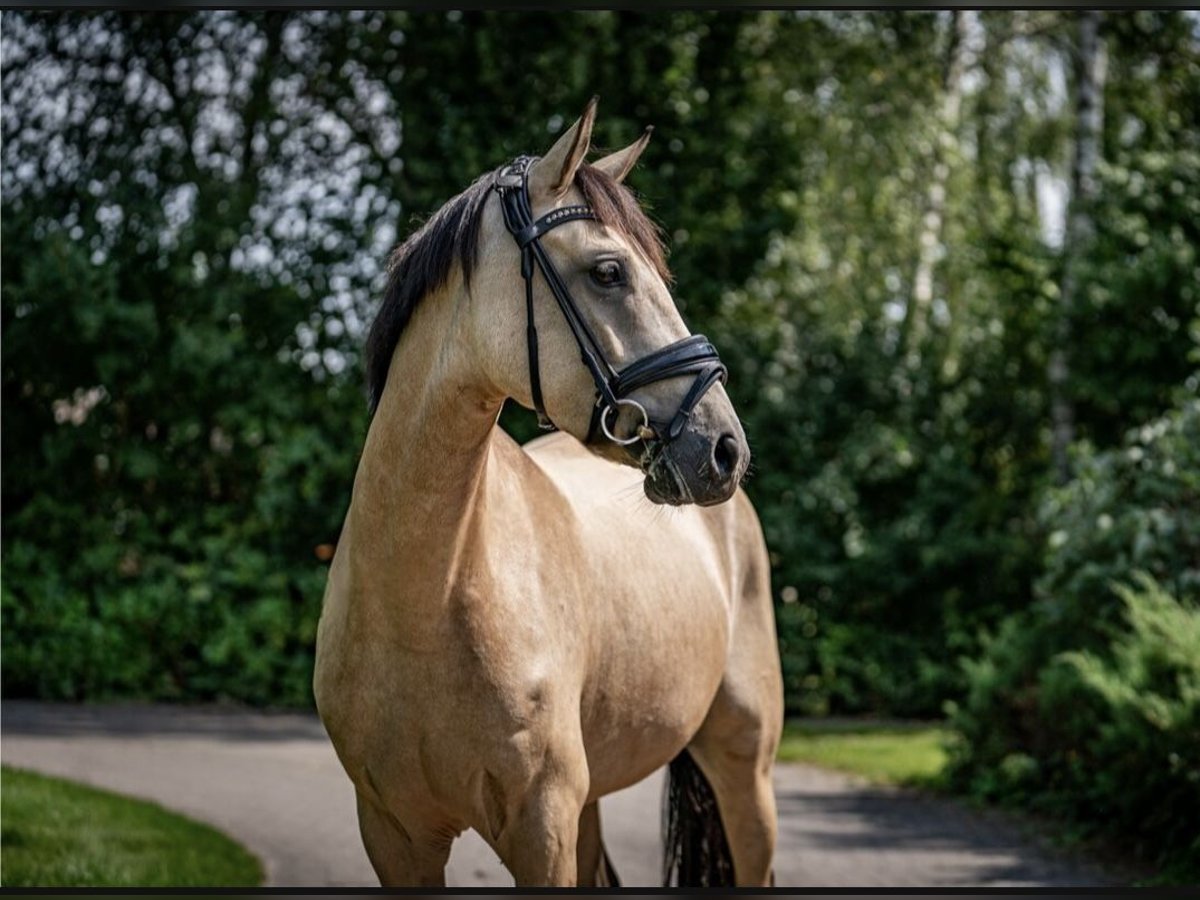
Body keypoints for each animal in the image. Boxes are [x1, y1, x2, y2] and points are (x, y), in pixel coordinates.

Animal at [314, 97, 782, 888]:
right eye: (608, 271)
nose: (725, 447)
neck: (425, 597)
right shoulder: (394, 836)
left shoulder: (542, 832)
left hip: (745, 775)